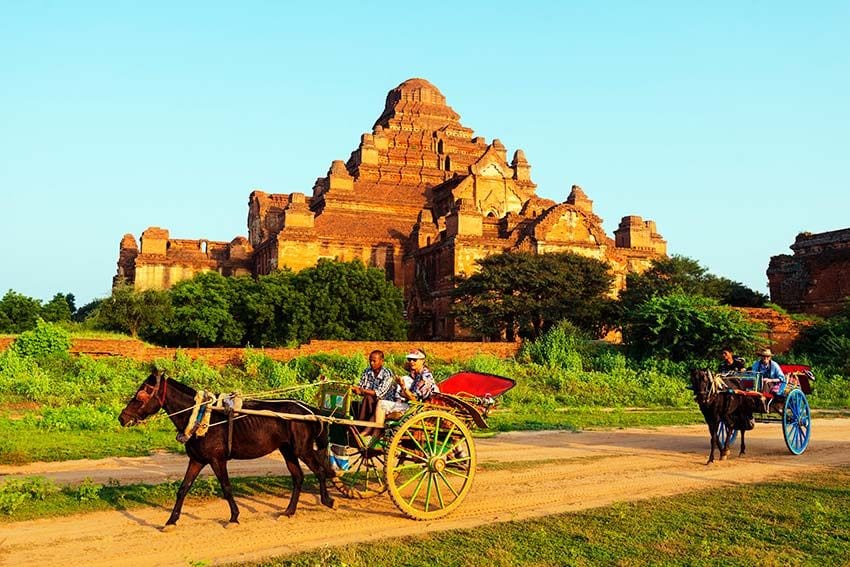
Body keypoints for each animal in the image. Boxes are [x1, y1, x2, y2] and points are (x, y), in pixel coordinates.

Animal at [117, 372, 332, 528]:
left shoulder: (217, 460)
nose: (122, 418)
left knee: (320, 471)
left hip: (302, 449)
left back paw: (327, 500)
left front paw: (234, 517)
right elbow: (183, 489)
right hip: (288, 450)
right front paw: (171, 521)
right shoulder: (197, 460)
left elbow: (226, 488)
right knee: (298, 477)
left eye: (141, 394)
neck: (201, 417)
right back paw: (289, 511)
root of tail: (309, 410)